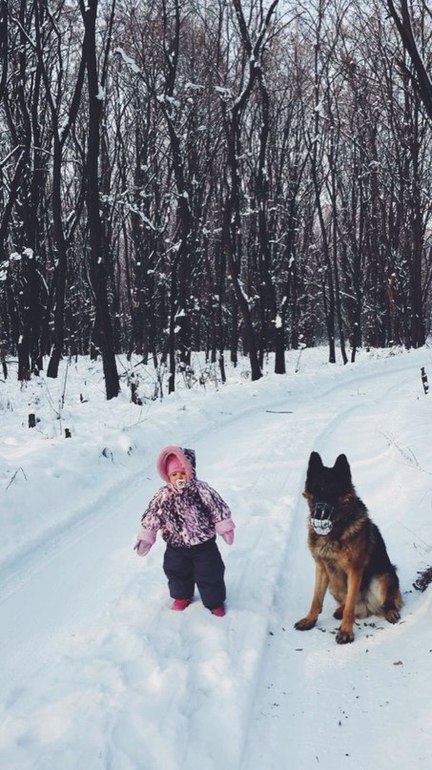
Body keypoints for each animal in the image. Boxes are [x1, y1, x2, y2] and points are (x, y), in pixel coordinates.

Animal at [294, 451, 402, 644]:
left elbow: (350, 607)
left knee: (387, 601)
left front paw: (345, 631)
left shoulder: (354, 571)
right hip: (333, 584)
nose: (318, 514)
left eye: (332, 492)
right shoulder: (321, 567)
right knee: (346, 603)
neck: (333, 531)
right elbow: (316, 599)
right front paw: (309, 620)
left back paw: (390, 611)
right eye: (315, 491)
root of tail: (366, 607)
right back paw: (339, 610)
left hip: (382, 577)